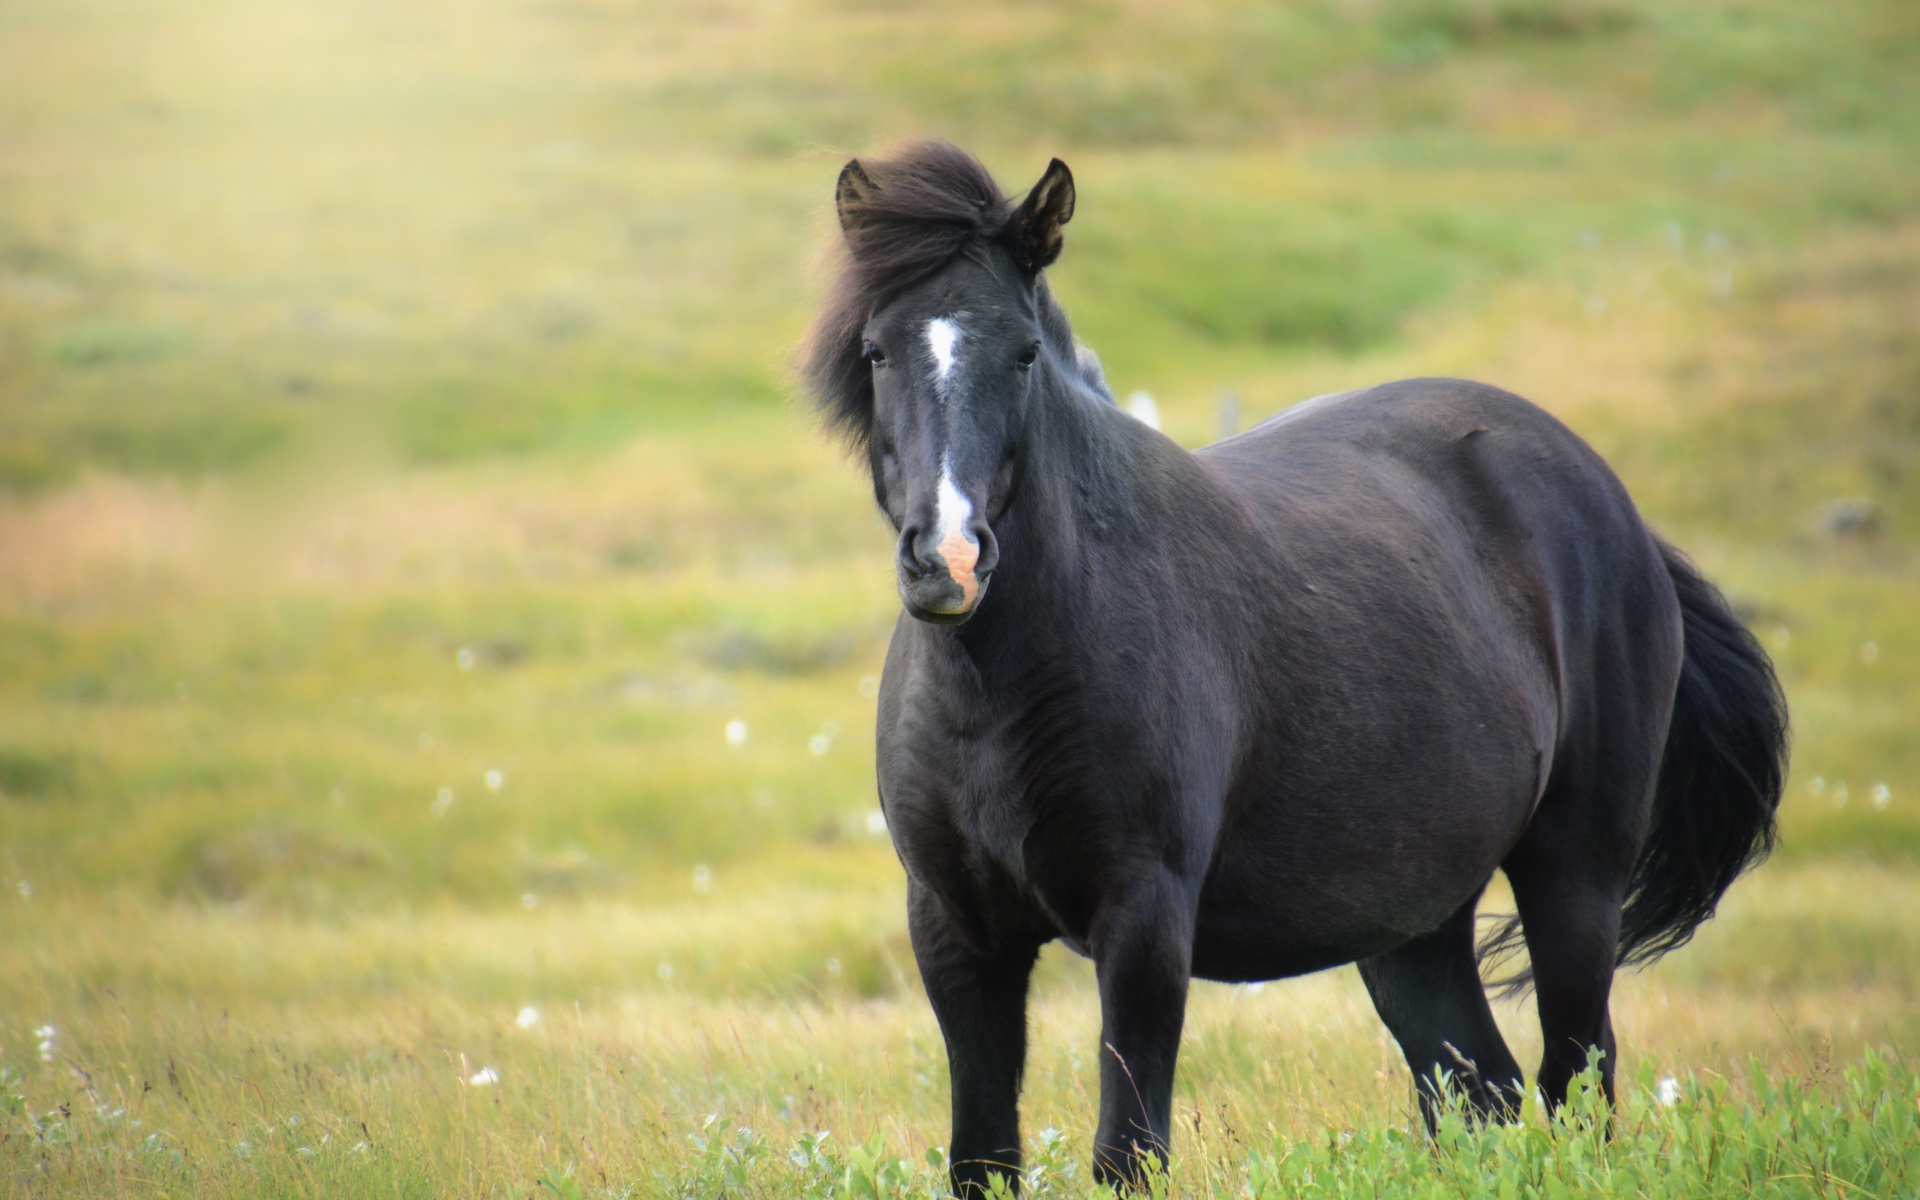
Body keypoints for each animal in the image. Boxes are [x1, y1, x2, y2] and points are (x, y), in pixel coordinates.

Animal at [797, 141, 1787, 1195]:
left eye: (1022, 353)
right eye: (876, 351)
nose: (947, 557)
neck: (1001, 687)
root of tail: (1616, 505)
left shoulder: (1144, 924)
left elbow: (1127, 1152)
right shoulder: (955, 933)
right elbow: (981, 1157)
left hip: (1575, 874)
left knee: (1576, 1083)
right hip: (1414, 926)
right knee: (1483, 1091)